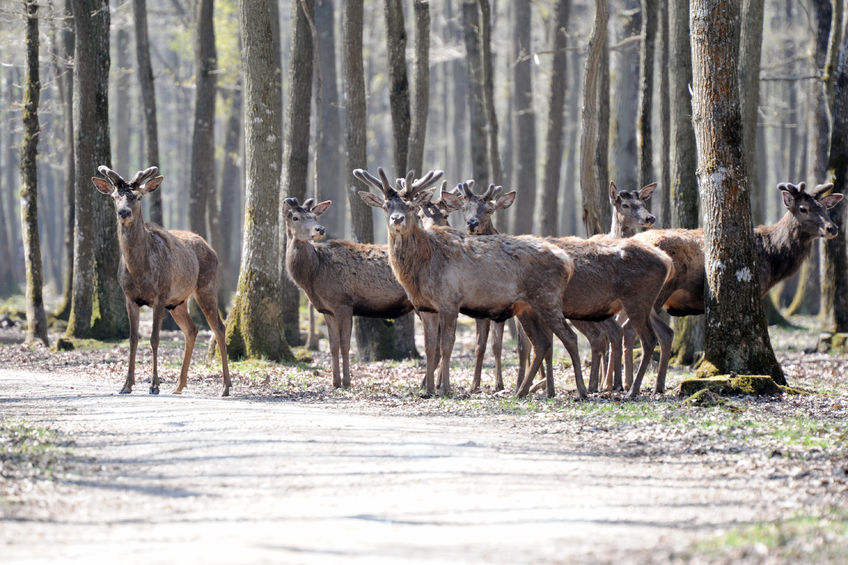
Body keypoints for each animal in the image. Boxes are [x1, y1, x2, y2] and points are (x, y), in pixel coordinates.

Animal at [92, 166, 231, 396]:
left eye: (138, 196)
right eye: (114, 197)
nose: (124, 212)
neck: (139, 271)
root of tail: (211, 248)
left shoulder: (160, 294)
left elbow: (154, 339)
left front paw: (154, 385)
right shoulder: (130, 298)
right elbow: (133, 339)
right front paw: (126, 385)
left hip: (206, 286)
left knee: (219, 328)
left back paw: (225, 387)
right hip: (177, 302)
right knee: (191, 330)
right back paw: (179, 385)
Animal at [283, 197, 417, 389]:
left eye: (314, 217)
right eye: (295, 217)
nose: (320, 229)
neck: (314, 274)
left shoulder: (344, 303)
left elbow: (345, 344)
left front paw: (346, 382)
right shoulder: (327, 310)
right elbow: (333, 345)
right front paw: (334, 382)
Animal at [356, 167, 587, 398]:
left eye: (410, 206)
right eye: (386, 206)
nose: (397, 219)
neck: (422, 266)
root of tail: (567, 261)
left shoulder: (449, 301)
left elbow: (446, 345)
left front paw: (445, 388)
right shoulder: (426, 307)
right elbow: (430, 348)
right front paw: (428, 390)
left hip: (547, 298)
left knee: (569, 337)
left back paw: (582, 391)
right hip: (527, 307)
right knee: (541, 342)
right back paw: (521, 391)